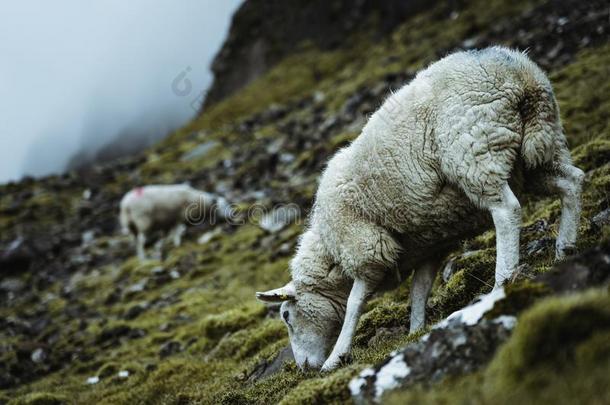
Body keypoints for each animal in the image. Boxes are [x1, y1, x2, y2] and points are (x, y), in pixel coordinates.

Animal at [254, 45, 580, 370]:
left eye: (286, 315)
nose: (303, 367)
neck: (329, 250)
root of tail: (521, 73)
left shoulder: (367, 246)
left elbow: (354, 304)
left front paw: (336, 357)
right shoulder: (430, 244)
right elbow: (419, 289)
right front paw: (415, 330)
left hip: (476, 150)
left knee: (507, 210)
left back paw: (503, 278)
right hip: (539, 148)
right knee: (572, 181)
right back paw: (565, 248)